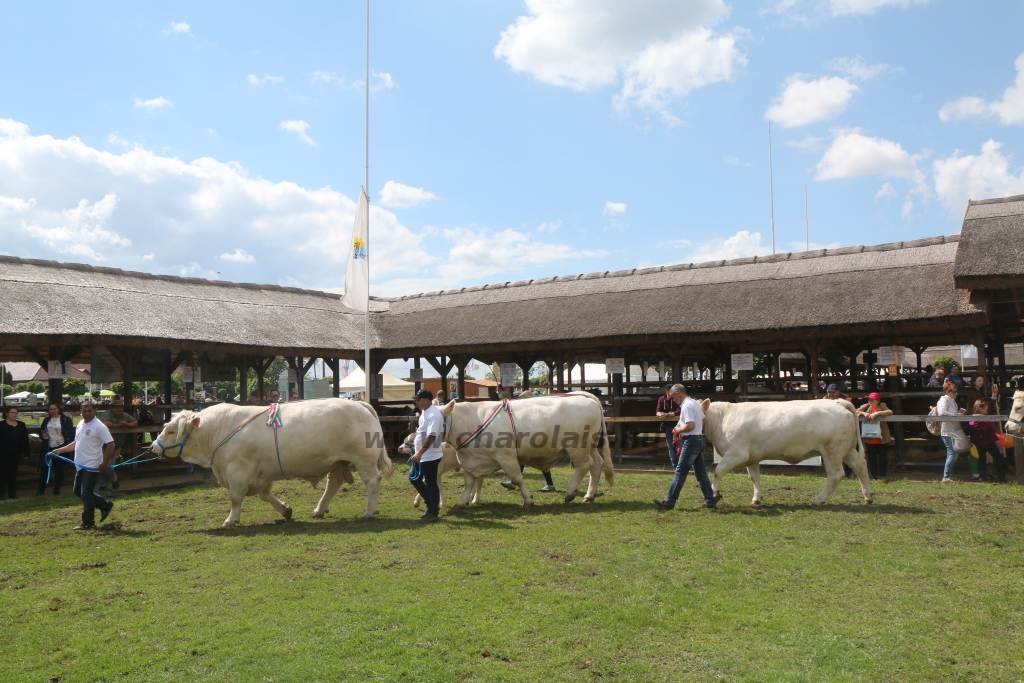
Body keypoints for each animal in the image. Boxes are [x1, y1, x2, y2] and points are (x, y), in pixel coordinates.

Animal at [149, 397, 393, 528]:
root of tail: (360, 404)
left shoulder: (238, 471)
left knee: (372, 481)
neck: (219, 429)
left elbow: (235, 498)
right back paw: (319, 509)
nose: (153, 447)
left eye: (170, 431)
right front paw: (285, 510)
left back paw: (369, 511)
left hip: (364, 460)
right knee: (334, 482)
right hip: (339, 461)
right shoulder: (260, 474)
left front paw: (231, 520)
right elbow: (265, 495)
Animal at [438, 389, 610, 507]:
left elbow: (517, 478)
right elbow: (468, 482)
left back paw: (569, 493)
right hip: (591, 446)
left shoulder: (506, 456)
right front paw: (462, 502)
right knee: (597, 465)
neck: (472, 420)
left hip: (577, 447)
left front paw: (528, 499)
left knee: (583, 467)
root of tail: (583, 396)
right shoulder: (470, 461)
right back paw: (589, 496)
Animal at [700, 397, 876, 505]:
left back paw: (819, 499)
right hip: (847, 449)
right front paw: (757, 498)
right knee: (860, 465)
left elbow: (718, 471)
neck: (722, 418)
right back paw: (867, 497)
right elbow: (754, 477)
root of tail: (838, 402)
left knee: (836, 475)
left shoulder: (736, 454)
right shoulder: (752, 457)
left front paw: (713, 494)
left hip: (832, 451)